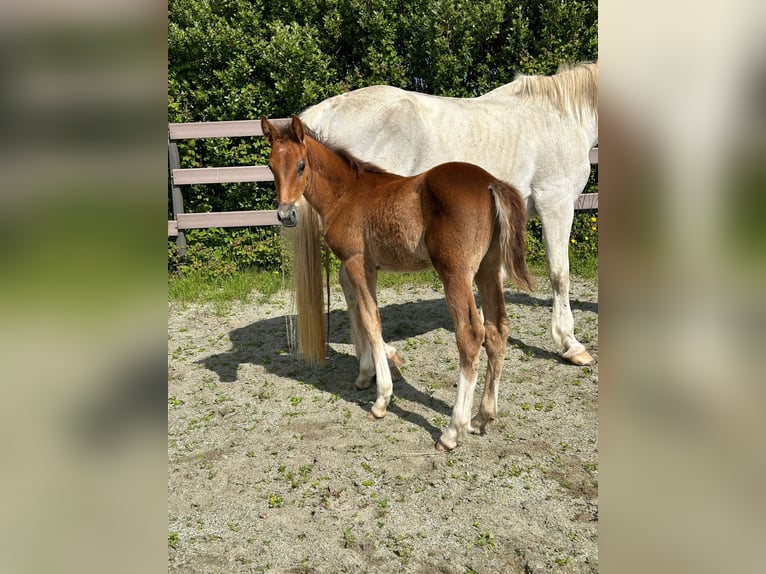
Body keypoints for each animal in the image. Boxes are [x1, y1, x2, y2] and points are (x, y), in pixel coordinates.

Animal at [300, 63, 600, 366]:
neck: (561, 115)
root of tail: (330, 108)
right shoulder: (556, 203)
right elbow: (559, 273)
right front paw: (570, 344)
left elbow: (497, 276)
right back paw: (382, 354)